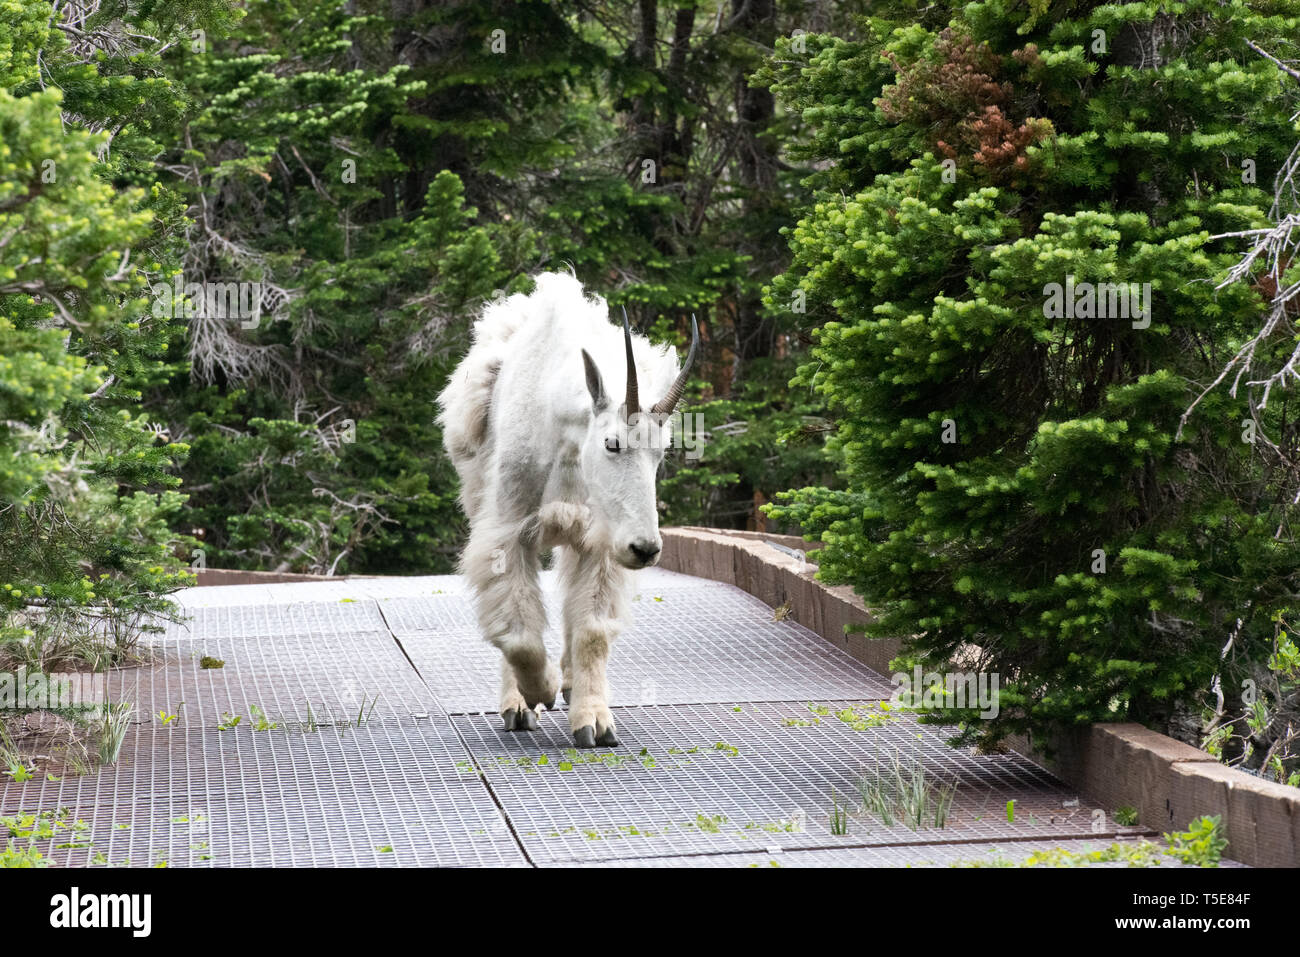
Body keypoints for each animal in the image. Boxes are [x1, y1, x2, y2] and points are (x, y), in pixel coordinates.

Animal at [436, 269, 696, 748]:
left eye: (662, 451)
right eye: (612, 443)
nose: (646, 549)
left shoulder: (603, 541)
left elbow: (592, 630)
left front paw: (594, 721)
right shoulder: (508, 531)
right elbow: (518, 631)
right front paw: (540, 691)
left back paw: (574, 682)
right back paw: (520, 705)